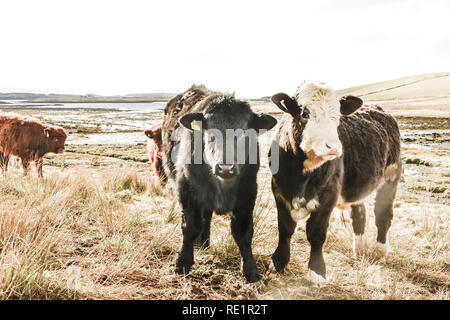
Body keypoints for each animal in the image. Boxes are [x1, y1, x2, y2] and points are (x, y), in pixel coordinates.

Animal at [160, 85, 276, 282]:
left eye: (244, 132)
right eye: (210, 133)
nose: (225, 168)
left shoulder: (248, 193)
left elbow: (243, 232)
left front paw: (251, 271)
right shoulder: (186, 190)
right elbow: (190, 227)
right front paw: (182, 263)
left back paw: (204, 243)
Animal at [268, 81, 402, 286]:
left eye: (337, 116)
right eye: (304, 113)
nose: (333, 147)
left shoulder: (328, 195)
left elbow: (316, 233)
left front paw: (317, 272)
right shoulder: (279, 191)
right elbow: (285, 228)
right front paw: (278, 262)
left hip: (391, 177)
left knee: (383, 214)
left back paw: (380, 250)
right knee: (359, 214)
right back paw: (360, 248)